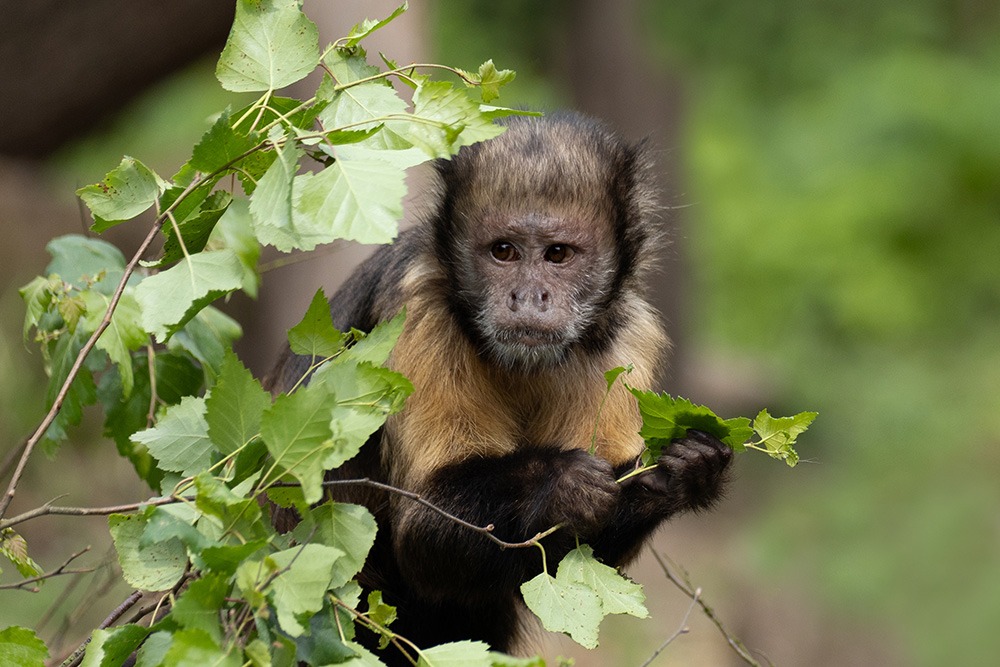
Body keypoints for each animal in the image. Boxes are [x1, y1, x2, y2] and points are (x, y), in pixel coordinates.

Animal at [268, 113, 736, 664]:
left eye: (558, 254)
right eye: (504, 251)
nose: (528, 296)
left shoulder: (628, 340)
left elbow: (579, 563)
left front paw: (679, 474)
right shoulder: (416, 313)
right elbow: (425, 532)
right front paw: (559, 484)